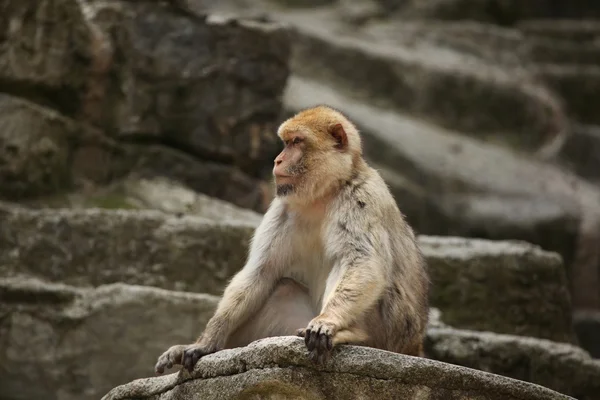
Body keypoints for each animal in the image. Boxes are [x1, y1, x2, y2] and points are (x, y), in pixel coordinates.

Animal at [152, 104, 428, 376]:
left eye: (297, 142)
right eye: (286, 142)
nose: (278, 160)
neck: (324, 193)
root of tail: (414, 347)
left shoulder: (362, 198)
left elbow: (361, 262)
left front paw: (328, 321)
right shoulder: (282, 208)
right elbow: (261, 272)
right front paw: (206, 342)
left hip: (392, 331)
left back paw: (351, 333)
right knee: (282, 288)